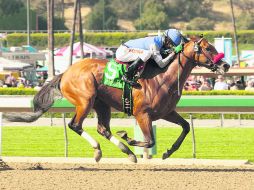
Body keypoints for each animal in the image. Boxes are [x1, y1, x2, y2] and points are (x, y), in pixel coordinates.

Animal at [4, 36, 230, 163]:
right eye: (208, 48)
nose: (226, 65)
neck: (163, 77)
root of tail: (65, 72)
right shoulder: (142, 114)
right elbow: (149, 140)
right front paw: (128, 136)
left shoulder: (166, 112)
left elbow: (185, 127)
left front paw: (167, 152)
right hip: (85, 100)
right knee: (75, 125)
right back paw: (99, 150)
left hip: (102, 104)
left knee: (103, 129)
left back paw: (128, 153)